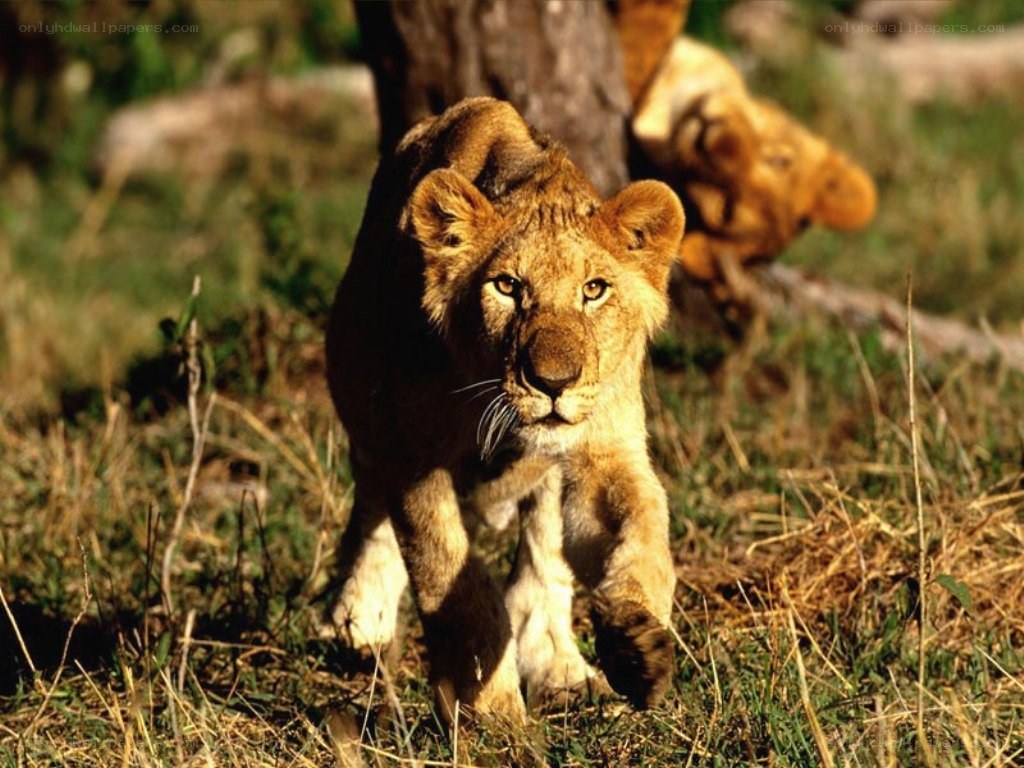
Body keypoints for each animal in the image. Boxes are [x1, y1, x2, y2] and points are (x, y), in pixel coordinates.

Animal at [324, 97, 685, 723]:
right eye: (508, 286)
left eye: (595, 289)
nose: (553, 383)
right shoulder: (415, 459)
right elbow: (455, 584)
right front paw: (492, 715)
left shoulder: (605, 447)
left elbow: (641, 534)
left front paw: (638, 648)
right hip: (358, 390)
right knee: (371, 500)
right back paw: (360, 620)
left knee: (543, 557)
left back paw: (563, 670)